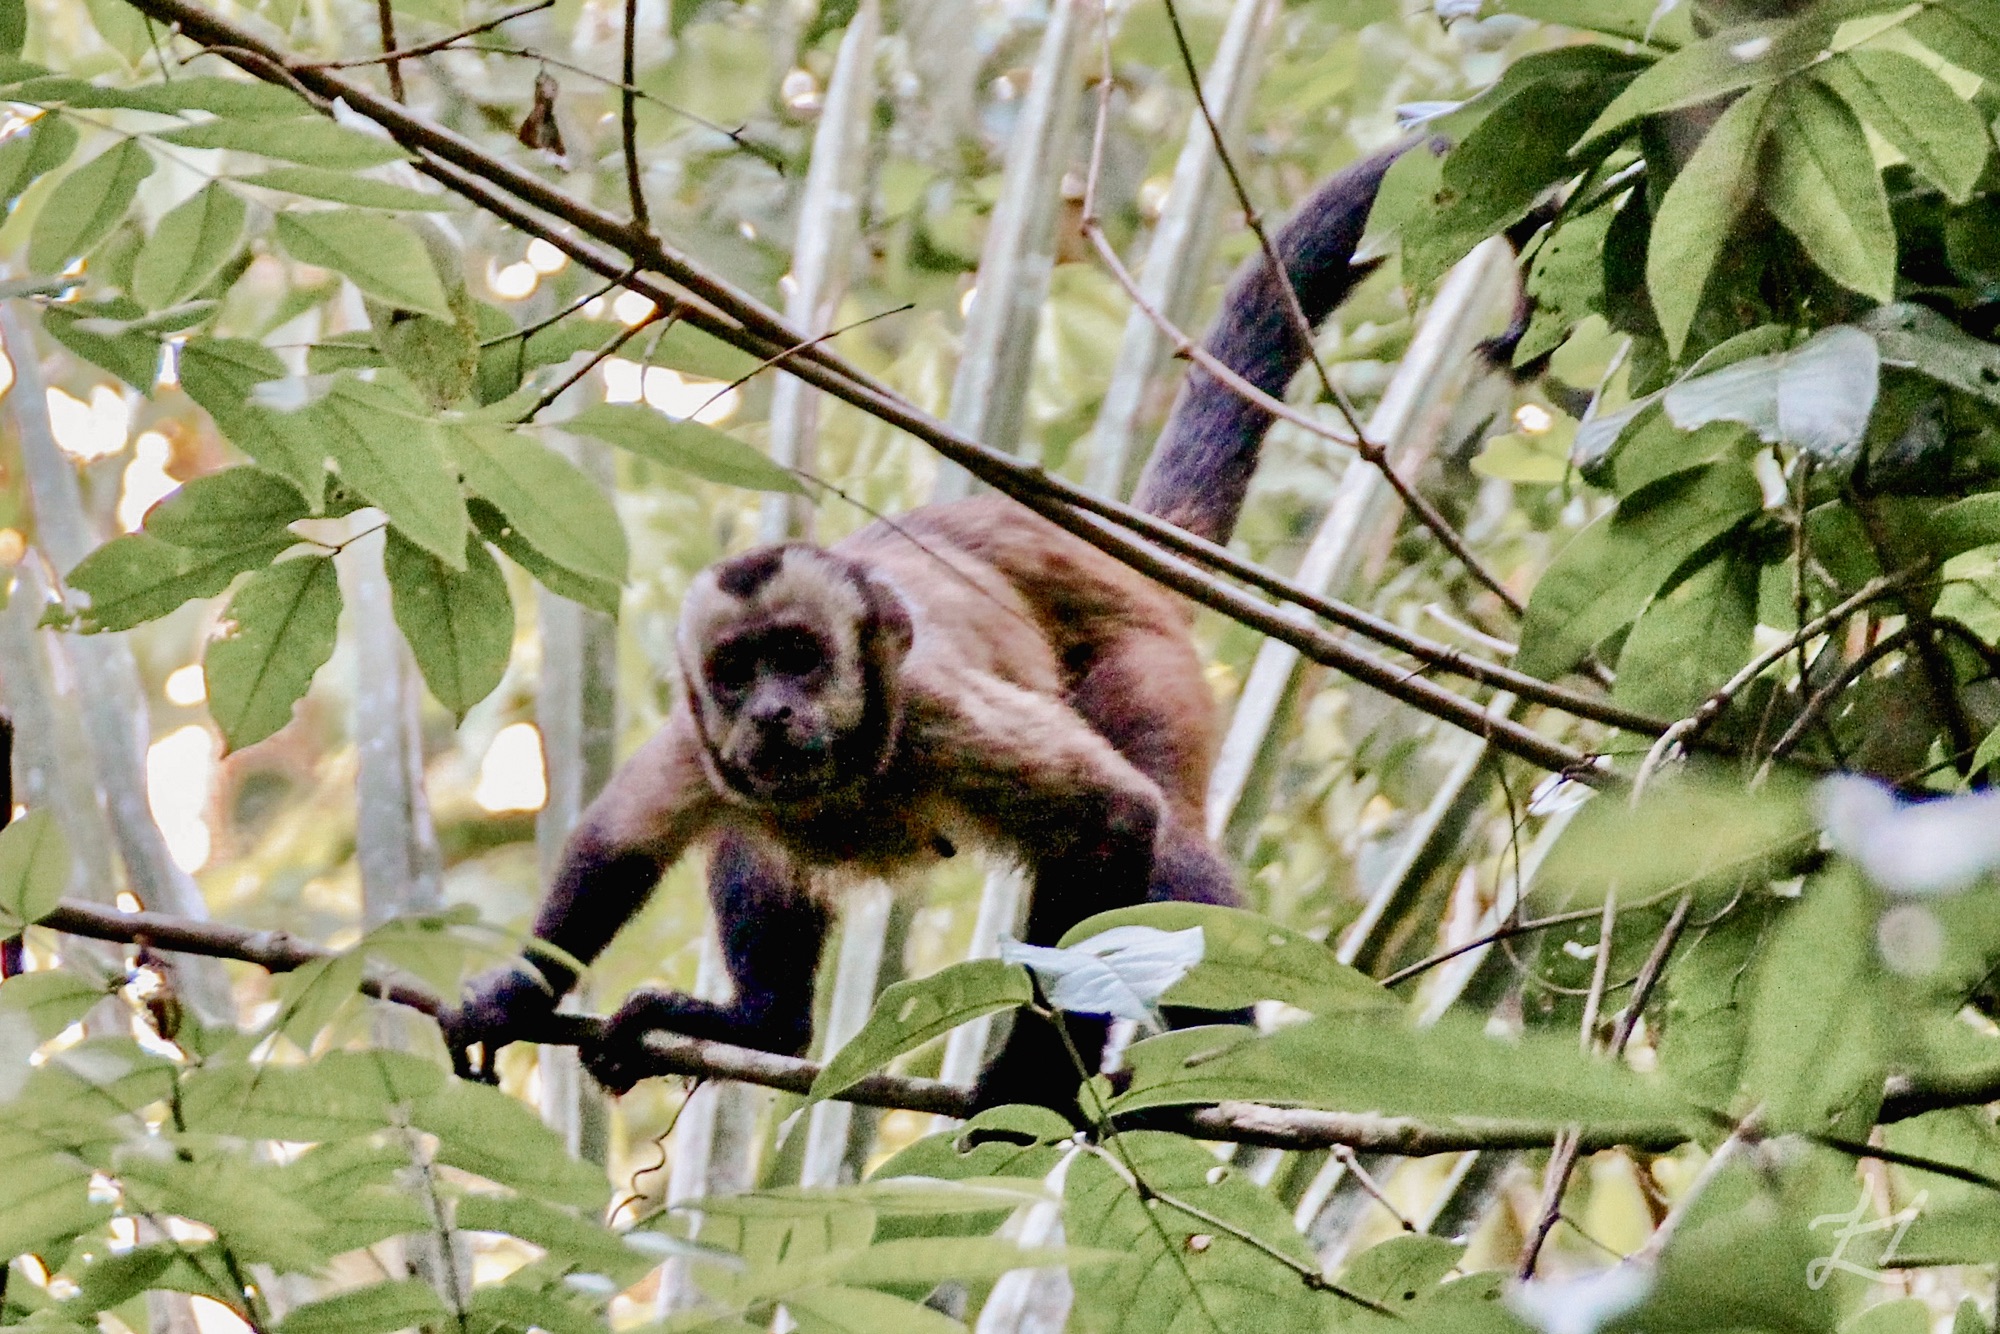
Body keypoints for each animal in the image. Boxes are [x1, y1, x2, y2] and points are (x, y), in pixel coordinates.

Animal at [446, 143, 1409, 1110]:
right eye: (736, 674)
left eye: (799, 658)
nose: (770, 711)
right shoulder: (698, 741)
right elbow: (616, 843)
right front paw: (516, 995)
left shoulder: (937, 713)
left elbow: (1116, 822)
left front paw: (1033, 1080)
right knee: (753, 832)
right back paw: (762, 1026)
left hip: (1144, 655)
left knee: (1166, 835)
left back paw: (1214, 1060)